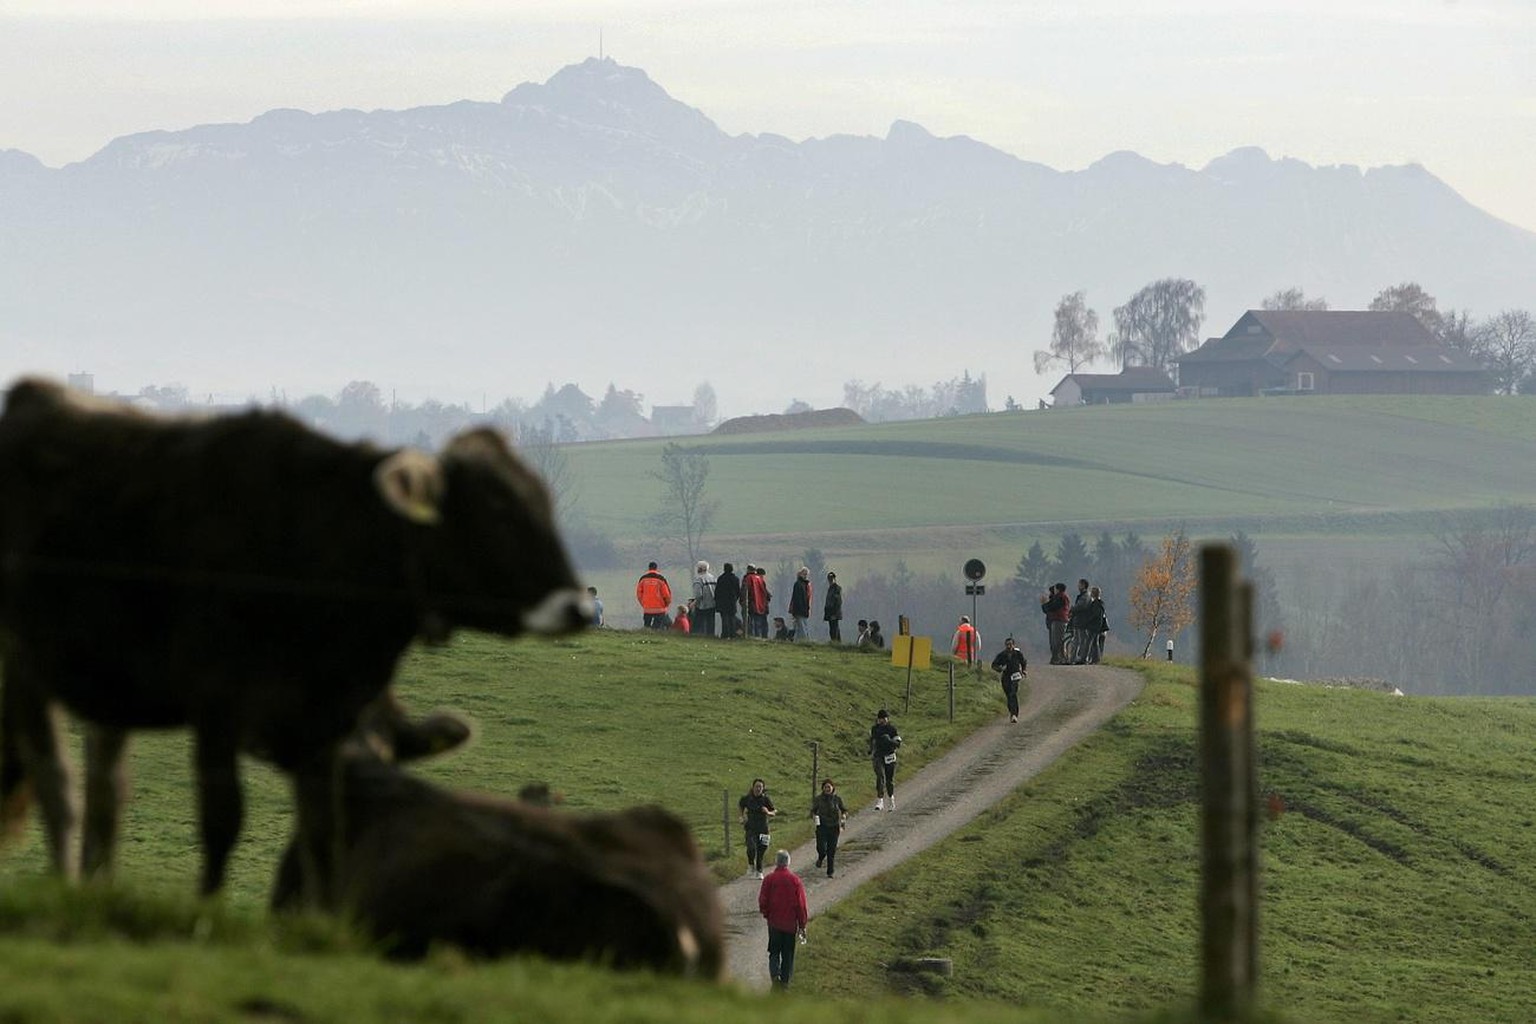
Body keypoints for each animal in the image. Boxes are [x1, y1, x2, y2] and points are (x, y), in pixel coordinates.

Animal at [0, 380, 589, 890]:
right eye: (498, 513)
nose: (578, 606)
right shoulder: (218, 697)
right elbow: (222, 819)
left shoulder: (324, 717)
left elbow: (321, 835)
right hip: (25, 663)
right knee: (58, 784)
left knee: (104, 788)